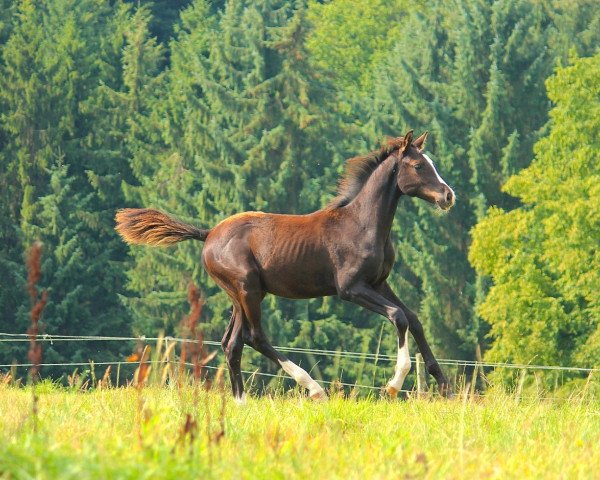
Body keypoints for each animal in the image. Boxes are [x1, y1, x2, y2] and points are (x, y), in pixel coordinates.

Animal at [115, 130, 454, 402]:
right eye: (419, 166)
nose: (448, 196)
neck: (361, 224)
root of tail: (208, 234)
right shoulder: (350, 289)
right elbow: (398, 316)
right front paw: (394, 384)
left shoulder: (379, 282)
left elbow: (414, 319)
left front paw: (444, 385)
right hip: (248, 289)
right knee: (255, 337)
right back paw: (314, 389)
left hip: (242, 295)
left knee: (231, 342)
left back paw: (240, 402)